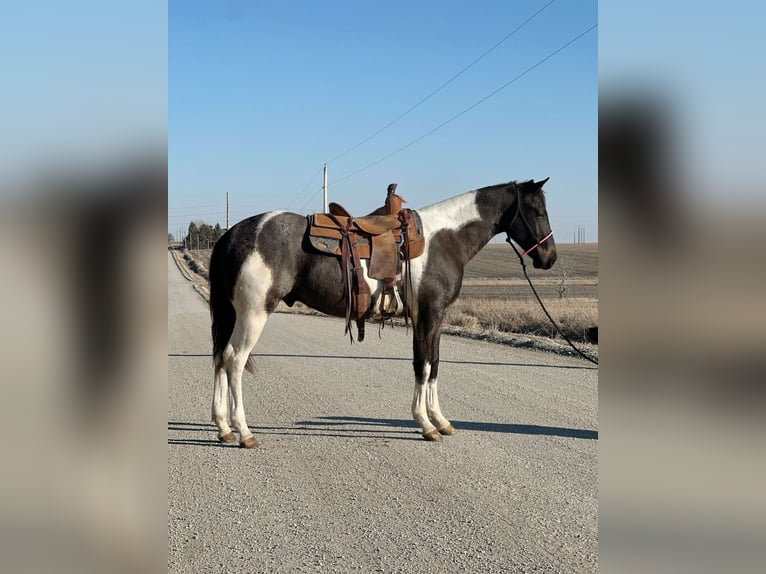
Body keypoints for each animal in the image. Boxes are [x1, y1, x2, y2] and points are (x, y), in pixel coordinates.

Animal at [210, 178, 560, 448]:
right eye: (538, 211)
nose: (550, 257)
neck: (444, 238)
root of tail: (234, 233)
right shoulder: (428, 315)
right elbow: (422, 366)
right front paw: (426, 425)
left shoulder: (435, 317)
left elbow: (434, 365)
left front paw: (441, 420)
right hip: (253, 313)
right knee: (235, 360)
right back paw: (244, 432)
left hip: (232, 314)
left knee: (220, 358)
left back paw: (224, 427)